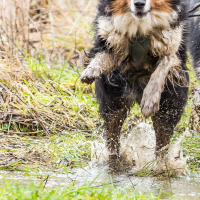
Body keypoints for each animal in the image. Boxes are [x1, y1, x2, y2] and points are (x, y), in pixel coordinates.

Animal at [80, 0, 188, 170]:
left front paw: (149, 100)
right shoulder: (111, 39)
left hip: (169, 104)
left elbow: (164, 64)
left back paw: (162, 167)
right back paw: (115, 162)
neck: (139, 29)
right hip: (114, 101)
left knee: (162, 141)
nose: (139, 4)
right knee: (113, 134)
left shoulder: (172, 46)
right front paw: (91, 69)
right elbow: (103, 54)